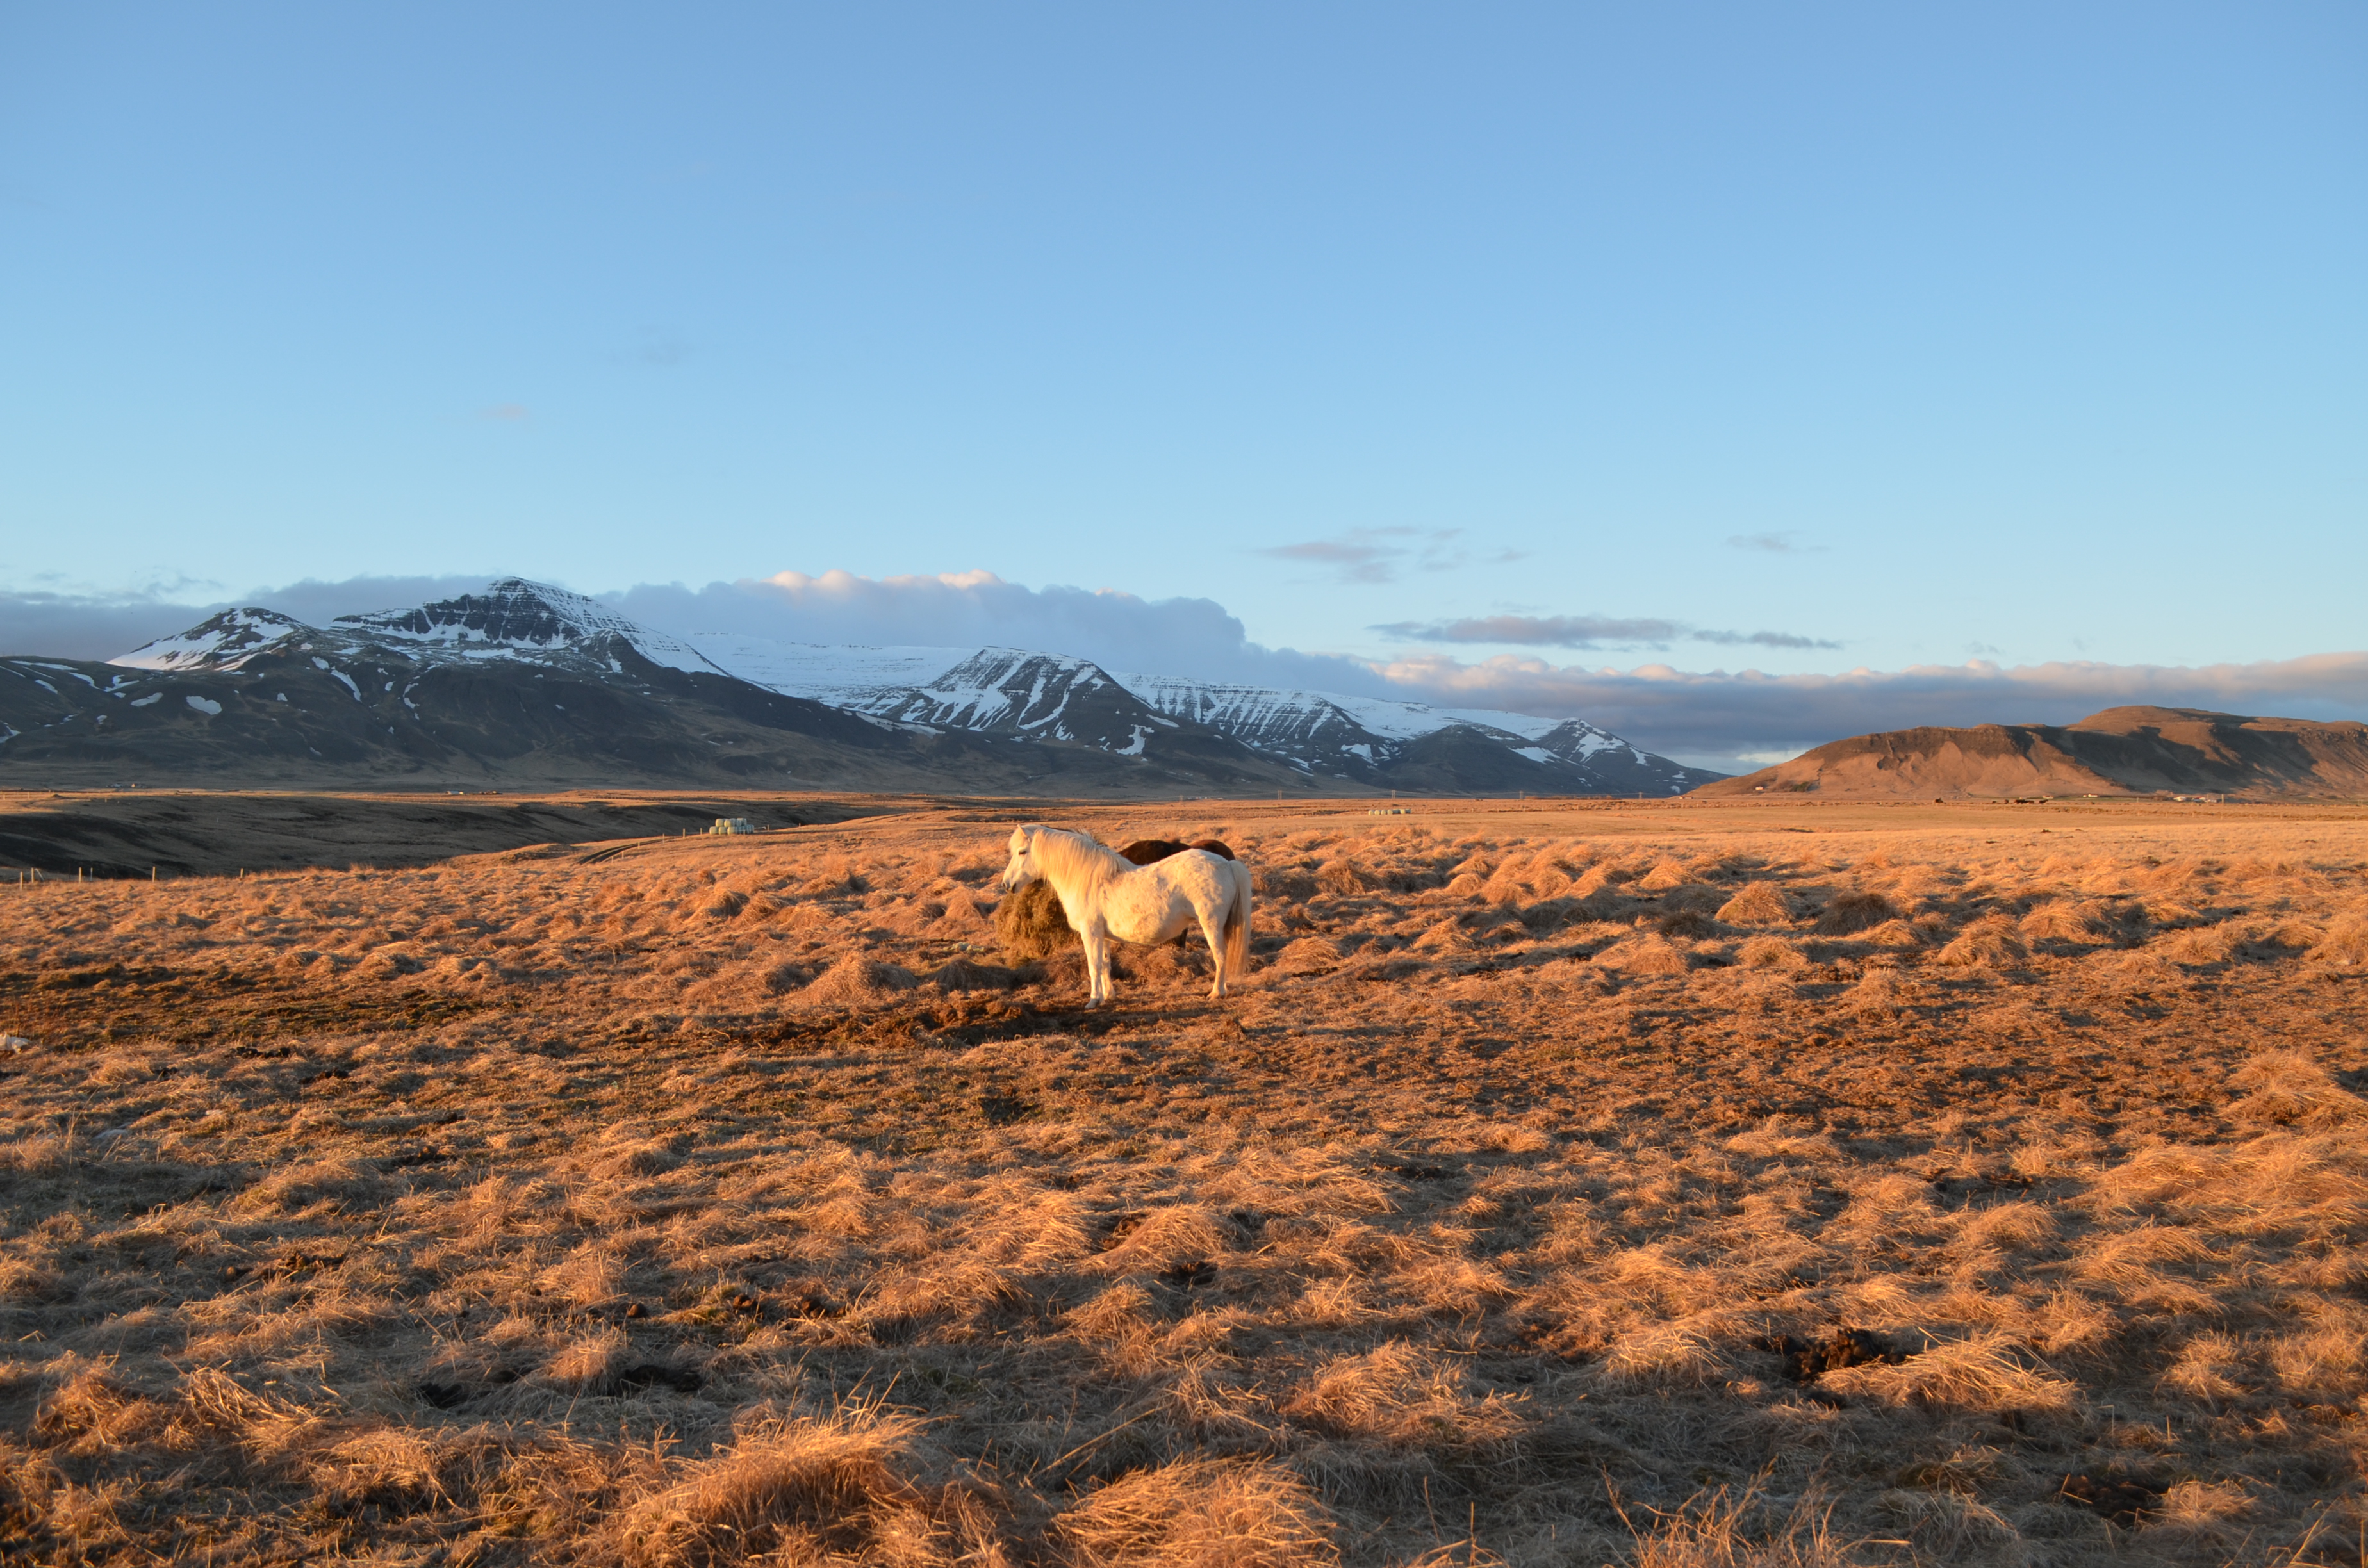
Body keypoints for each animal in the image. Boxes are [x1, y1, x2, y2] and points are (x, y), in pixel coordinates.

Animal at [999, 824, 1260, 1009]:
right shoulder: (1102, 936)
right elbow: (1105, 964)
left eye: (1022, 852)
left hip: (1211, 924)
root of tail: (1227, 864)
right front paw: (1109, 996)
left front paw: (1093, 1000)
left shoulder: (1090, 933)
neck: (1090, 879)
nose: (1006, 884)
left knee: (1220, 956)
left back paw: (1216, 992)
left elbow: (1093, 965)